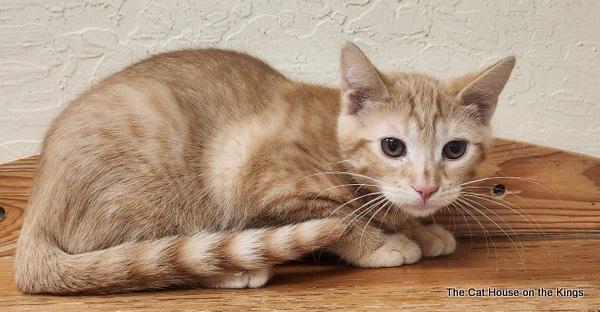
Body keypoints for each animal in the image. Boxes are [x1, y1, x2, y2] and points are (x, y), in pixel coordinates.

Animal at [16, 42, 516, 294]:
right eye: (392, 146)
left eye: (454, 150)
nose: (427, 188)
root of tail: (37, 205)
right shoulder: (254, 175)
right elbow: (340, 219)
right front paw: (380, 243)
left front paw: (419, 229)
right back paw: (228, 270)